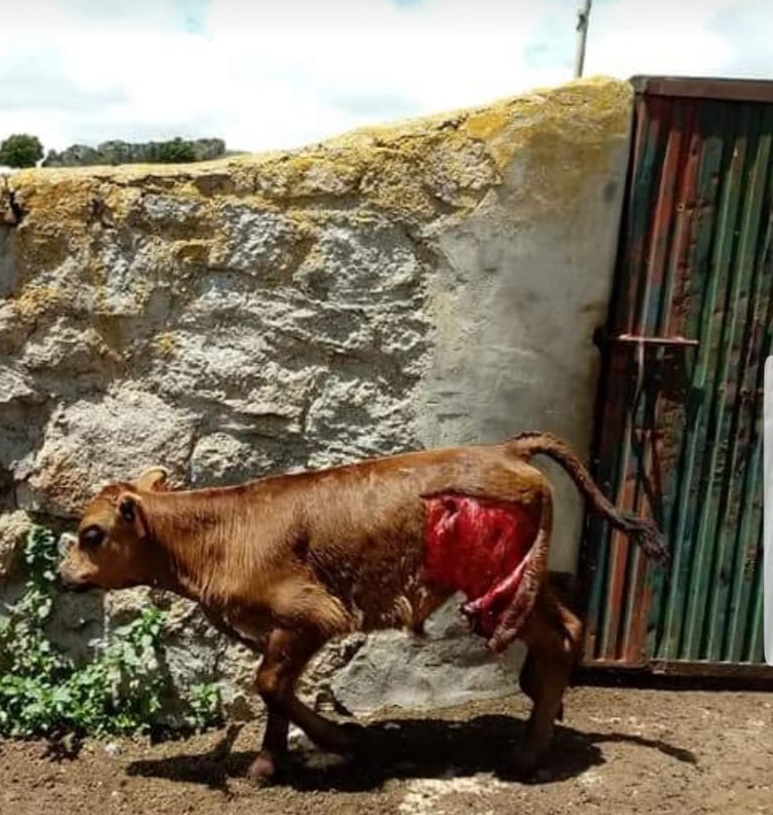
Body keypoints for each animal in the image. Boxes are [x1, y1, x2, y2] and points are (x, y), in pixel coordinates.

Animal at [57, 430, 667, 783]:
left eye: (91, 534)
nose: (63, 576)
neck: (223, 534)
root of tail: (507, 450)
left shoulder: (310, 615)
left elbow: (269, 685)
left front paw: (340, 741)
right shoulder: (283, 628)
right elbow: (278, 691)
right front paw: (273, 761)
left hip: (500, 589)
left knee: (559, 638)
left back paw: (526, 757)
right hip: (525, 586)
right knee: (569, 627)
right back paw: (543, 713)